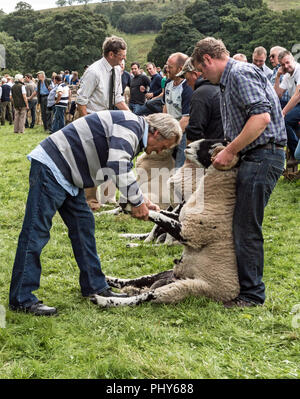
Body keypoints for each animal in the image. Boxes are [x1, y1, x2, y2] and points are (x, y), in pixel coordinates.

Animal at [90, 139, 240, 308]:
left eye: (213, 146)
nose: (187, 147)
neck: (221, 194)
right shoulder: (180, 216)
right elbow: (162, 216)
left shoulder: (189, 233)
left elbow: (159, 218)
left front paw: (131, 207)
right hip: (166, 273)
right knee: (134, 281)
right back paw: (108, 278)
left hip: (182, 288)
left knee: (142, 297)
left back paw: (103, 299)